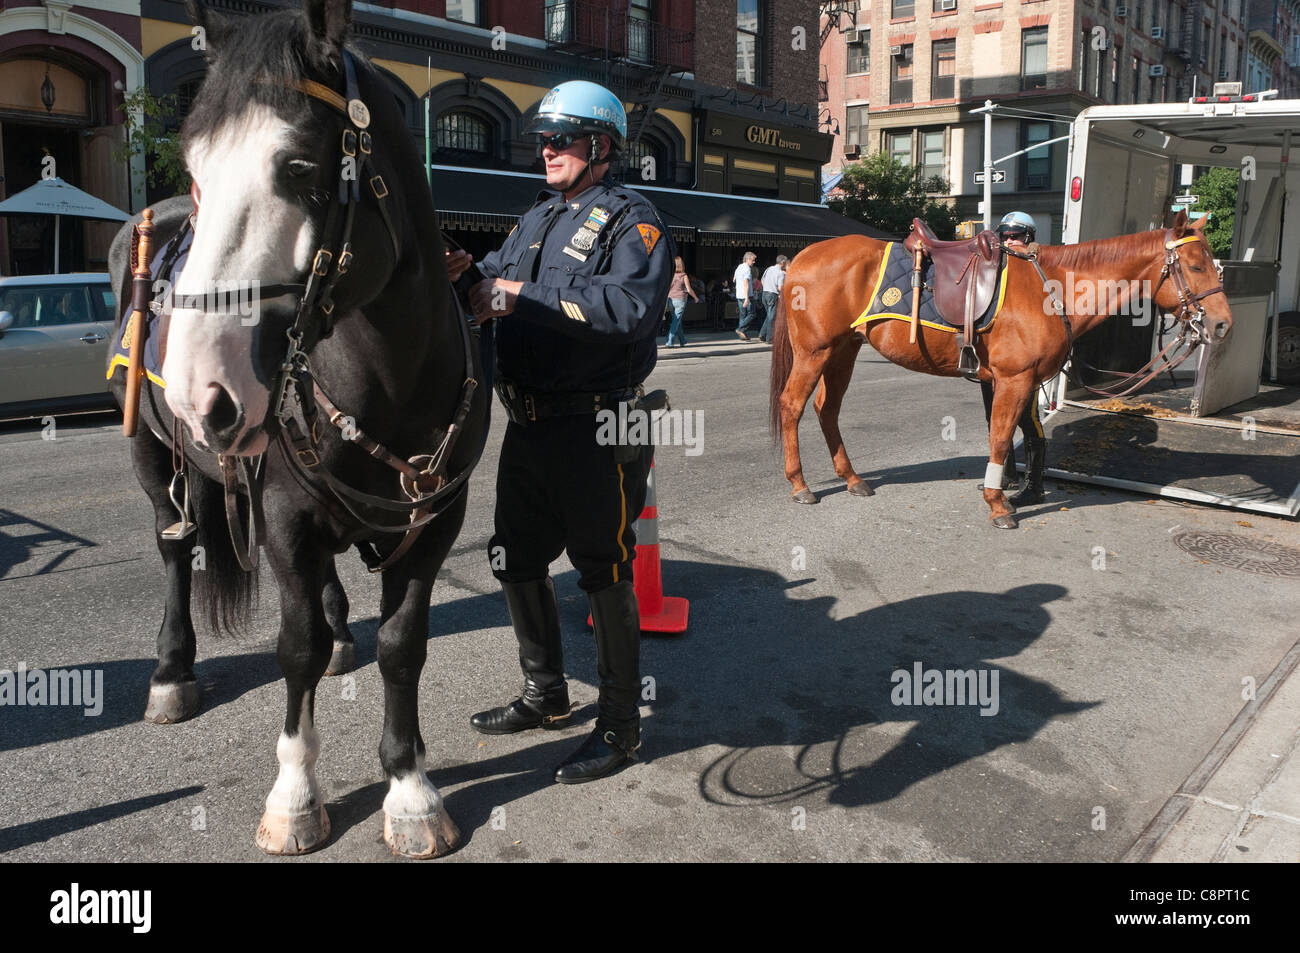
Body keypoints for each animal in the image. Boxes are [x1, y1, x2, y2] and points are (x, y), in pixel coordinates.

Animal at [107, 0, 488, 858]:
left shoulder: (435, 518)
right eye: (196, 169)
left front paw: (409, 788)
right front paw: (294, 792)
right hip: (153, 458)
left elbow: (401, 644)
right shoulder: (281, 514)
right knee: (176, 547)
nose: (200, 388)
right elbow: (296, 647)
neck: (385, 374)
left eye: (300, 167)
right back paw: (172, 670)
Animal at [769, 213, 1227, 527]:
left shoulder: (1023, 381)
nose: (1222, 324)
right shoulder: (1014, 380)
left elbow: (1023, 436)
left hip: (843, 351)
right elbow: (1004, 437)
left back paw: (851, 478)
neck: (1050, 287)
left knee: (827, 409)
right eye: (1197, 265)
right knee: (792, 405)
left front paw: (1018, 490)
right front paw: (997, 502)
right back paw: (799, 484)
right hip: (815, 352)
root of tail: (802, 257)